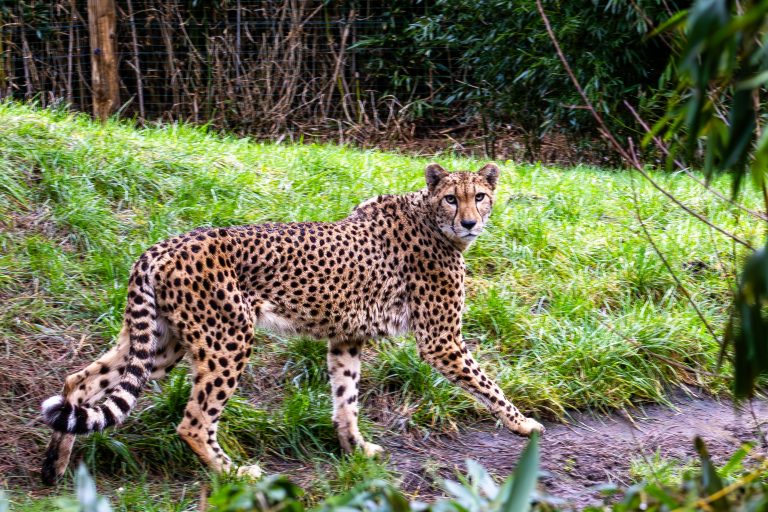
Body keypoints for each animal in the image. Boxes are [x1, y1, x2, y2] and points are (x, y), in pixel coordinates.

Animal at [42, 163, 544, 484]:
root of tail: (162, 245)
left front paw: (356, 449)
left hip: (161, 342)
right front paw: (524, 424)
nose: (470, 222)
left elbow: (346, 399)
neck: (430, 217)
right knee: (194, 422)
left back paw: (56, 466)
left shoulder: (345, 338)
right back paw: (235, 473)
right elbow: (488, 383)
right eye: (452, 198)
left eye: (481, 196)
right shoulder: (441, 340)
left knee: (79, 383)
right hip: (227, 339)